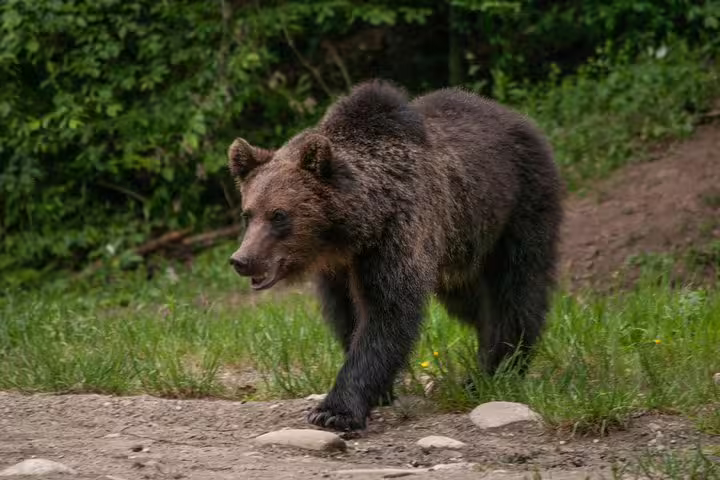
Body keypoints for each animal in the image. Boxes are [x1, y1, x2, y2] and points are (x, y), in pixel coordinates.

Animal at [227, 79, 563, 431]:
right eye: (248, 214)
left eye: (279, 215)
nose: (242, 260)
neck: (352, 231)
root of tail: (519, 118)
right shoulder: (338, 269)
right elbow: (348, 316)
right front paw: (379, 391)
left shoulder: (396, 236)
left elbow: (387, 313)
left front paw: (335, 410)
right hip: (460, 244)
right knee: (470, 301)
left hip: (516, 206)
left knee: (515, 289)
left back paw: (496, 370)